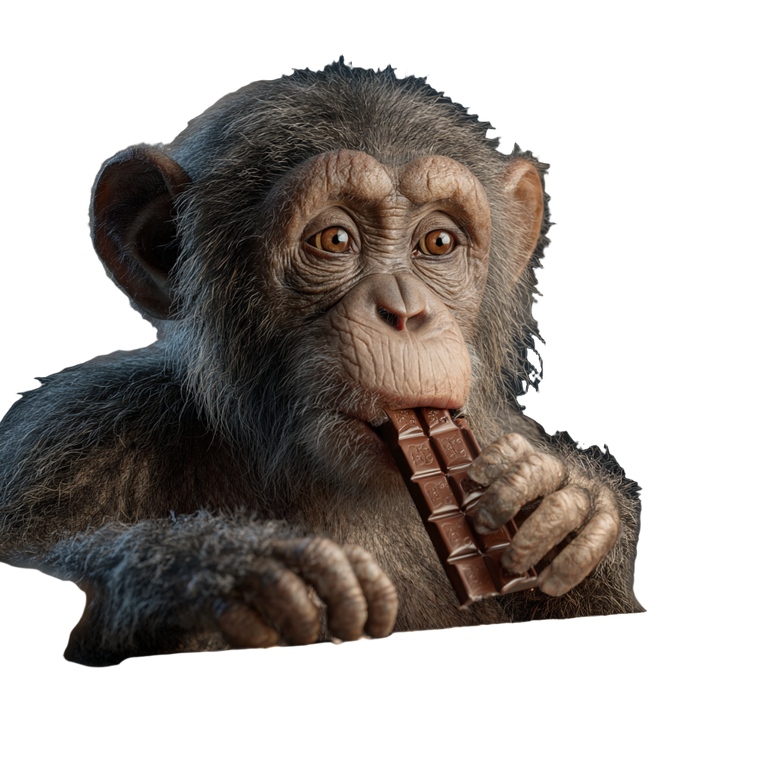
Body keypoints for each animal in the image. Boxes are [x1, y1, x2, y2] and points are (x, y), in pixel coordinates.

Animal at [0, 57, 646, 669]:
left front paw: (561, 506)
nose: (405, 311)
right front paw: (217, 569)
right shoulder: (65, 448)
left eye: (438, 243)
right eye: (333, 240)